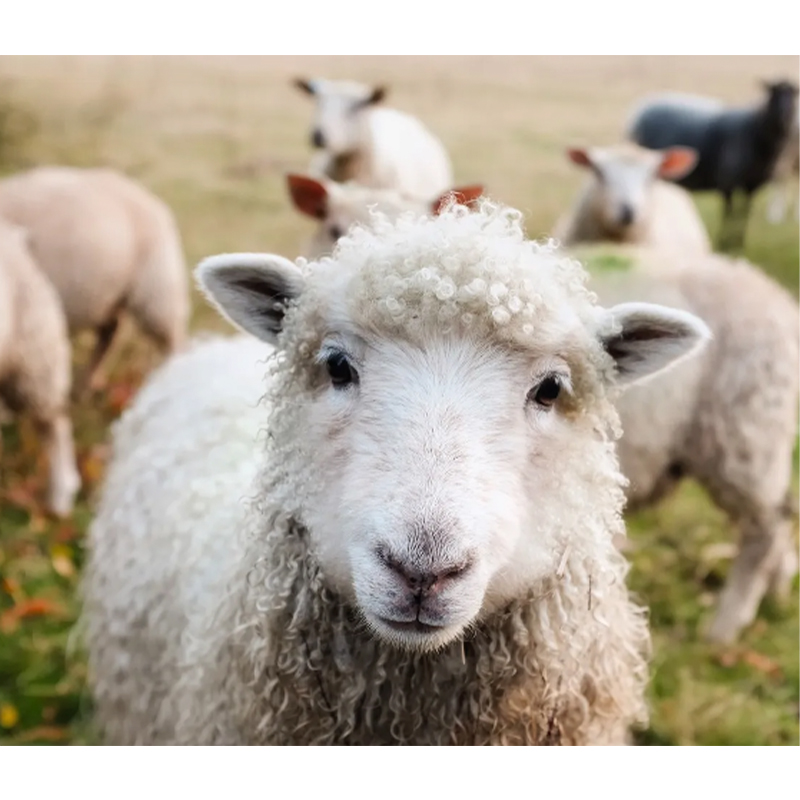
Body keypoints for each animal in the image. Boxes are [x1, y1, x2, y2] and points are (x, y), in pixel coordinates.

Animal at [627, 80, 800, 251]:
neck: (753, 128)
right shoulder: (727, 181)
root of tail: (640, 108)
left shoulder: (751, 186)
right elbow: (729, 213)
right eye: (774, 93)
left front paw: (738, 243)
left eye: (793, 95)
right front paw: (725, 244)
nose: (785, 116)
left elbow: (743, 214)